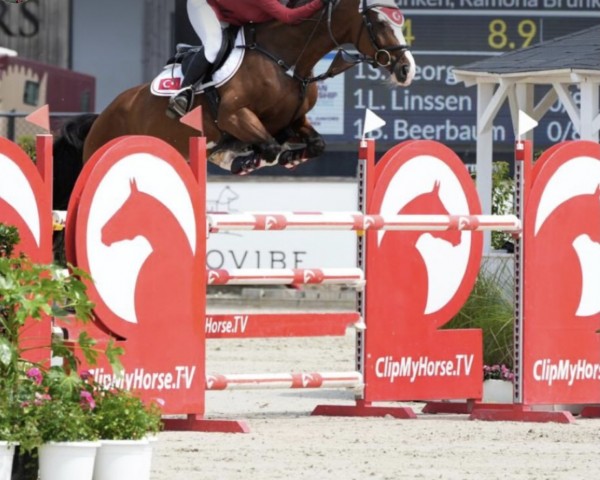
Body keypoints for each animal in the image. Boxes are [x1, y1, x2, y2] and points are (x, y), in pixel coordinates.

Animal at [54, 0, 414, 206]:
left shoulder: (293, 121)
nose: (407, 69)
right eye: (379, 22)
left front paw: (287, 157)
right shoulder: (234, 115)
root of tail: (103, 116)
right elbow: (268, 146)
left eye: (400, 22)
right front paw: (248, 158)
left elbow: (315, 144)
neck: (287, 59)